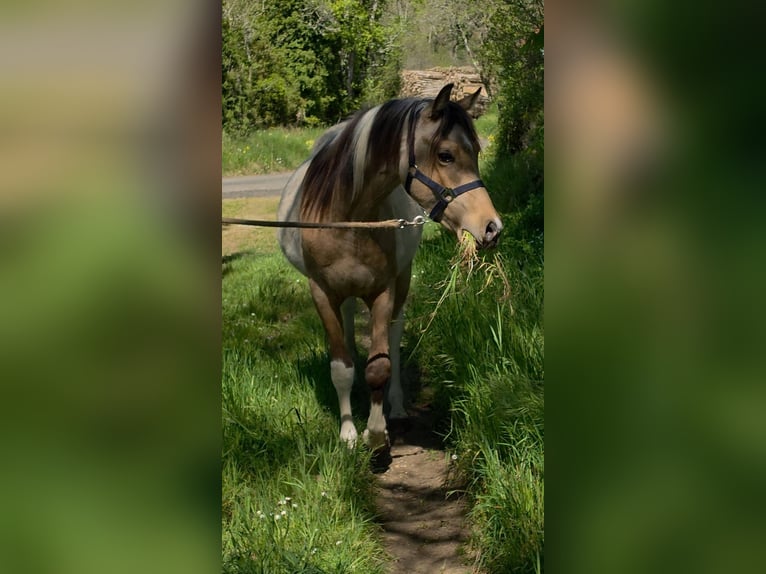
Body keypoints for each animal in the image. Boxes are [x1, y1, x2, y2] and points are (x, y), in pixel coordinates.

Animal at [277, 83, 502, 460]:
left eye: (477, 152)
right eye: (446, 155)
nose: (491, 227)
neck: (346, 219)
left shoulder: (383, 290)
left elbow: (379, 366)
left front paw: (377, 432)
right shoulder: (321, 292)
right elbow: (341, 367)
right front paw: (348, 433)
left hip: (403, 278)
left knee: (394, 339)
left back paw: (394, 406)